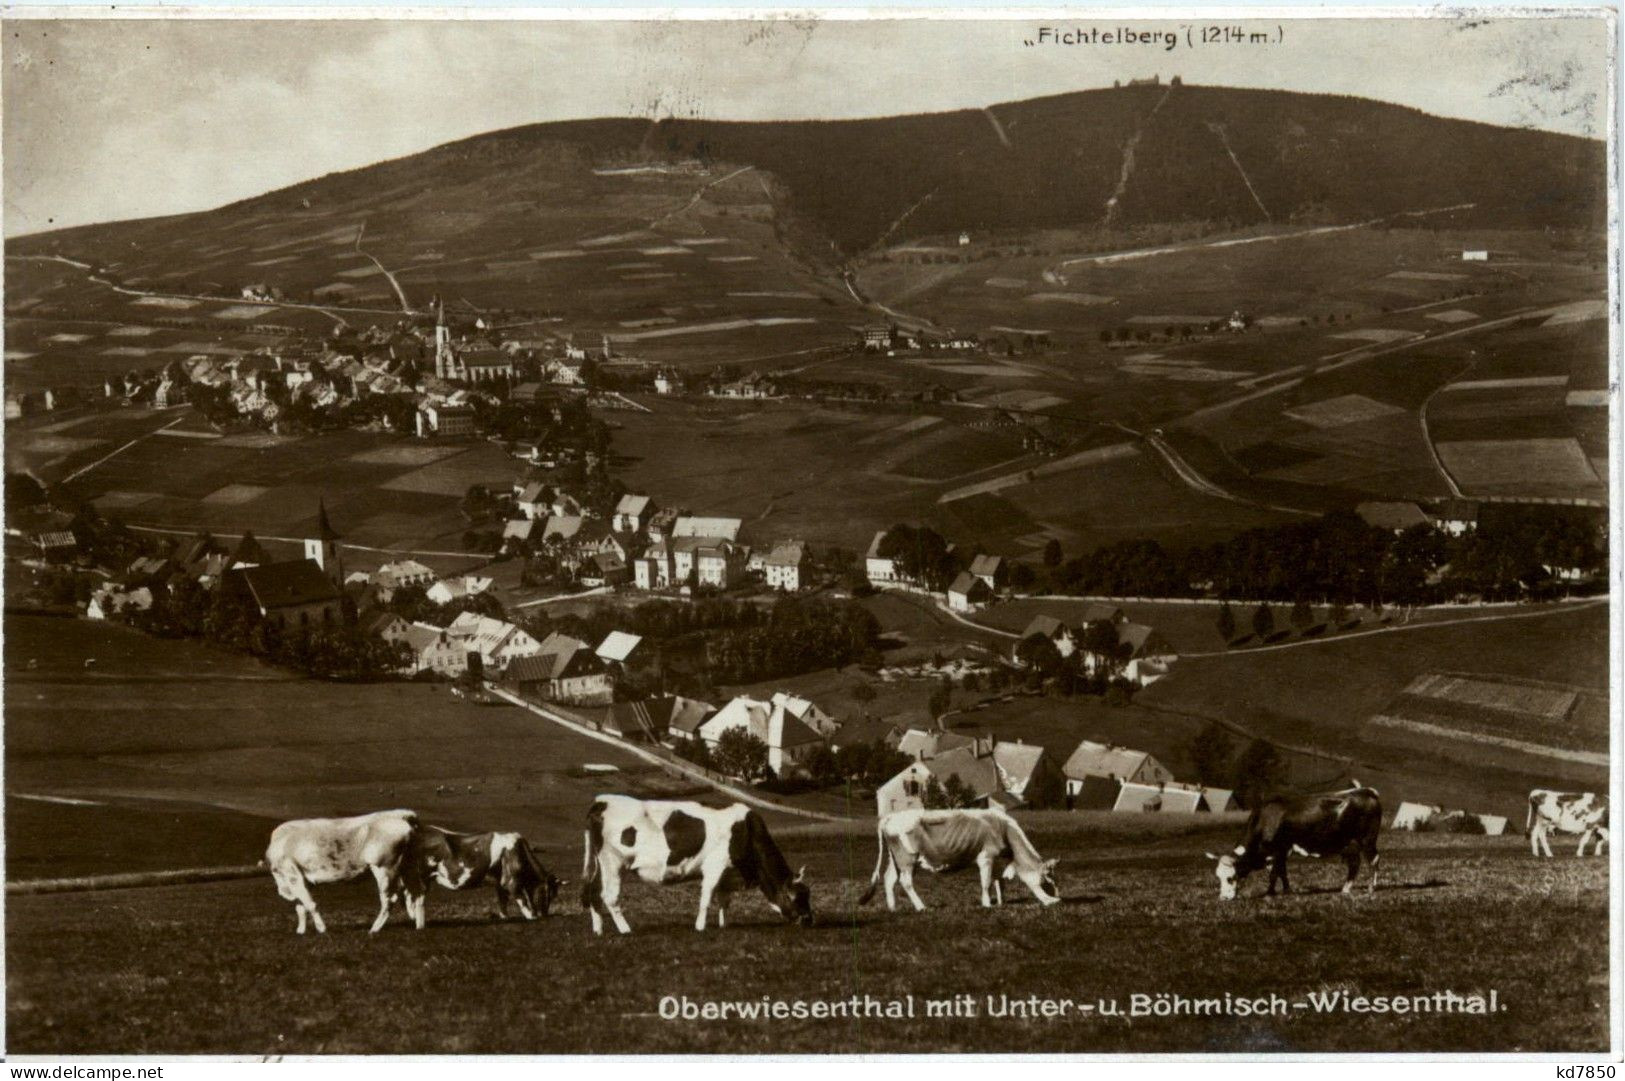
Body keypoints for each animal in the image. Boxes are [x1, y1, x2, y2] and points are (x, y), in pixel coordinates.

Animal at [261, 806, 425, 929]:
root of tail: (400, 814)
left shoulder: (292, 875)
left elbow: (310, 904)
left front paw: (322, 929)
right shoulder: (299, 880)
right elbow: (300, 907)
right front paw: (301, 932)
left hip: (384, 868)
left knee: (390, 899)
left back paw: (374, 929)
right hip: (407, 866)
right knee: (416, 893)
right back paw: (419, 925)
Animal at [419, 825, 565, 916]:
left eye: (554, 895)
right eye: (548, 892)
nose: (544, 914)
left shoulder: (500, 884)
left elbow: (503, 907)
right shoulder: (510, 883)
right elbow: (525, 907)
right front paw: (532, 916)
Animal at [581, 793, 812, 936]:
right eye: (797, 897)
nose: (810, 921)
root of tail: (601, 801)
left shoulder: (727, 872)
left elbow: (724, 900)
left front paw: (723, 925)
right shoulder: (714, 865)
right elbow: (706, 898)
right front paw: (700, 927)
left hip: (600, 863)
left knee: (593, 892)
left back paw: (598, 930)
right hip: (613, 861)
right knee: (609, 896)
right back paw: (625, 930)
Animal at [858, 809, 1059, 910]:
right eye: (1047, 879)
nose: (1057, 900)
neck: (1004, 828)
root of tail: (890, 816)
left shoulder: (994, 858)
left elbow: (998, 881)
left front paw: (1001, 902)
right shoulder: (986, 856)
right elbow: (986, 882)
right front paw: (987, 904)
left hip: (896, 858)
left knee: (889, 879)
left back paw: (893, 908)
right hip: (907, 858)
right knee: (905, 882)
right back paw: (921, 907)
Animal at [1209, 783, 1384, 903]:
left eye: (1230, 877)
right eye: (1218, 876)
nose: (1223, 898)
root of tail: (1367, 791)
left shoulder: (1278, 849)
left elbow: (1274, 873)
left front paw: (1270, 893)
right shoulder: (1281, 851)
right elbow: (1282, 871)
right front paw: (1286, 890)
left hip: (1367, 839)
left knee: (1374, 860)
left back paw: (1371, 888)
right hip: (1350, 844)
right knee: (1355, 864)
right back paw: (1346, 889)